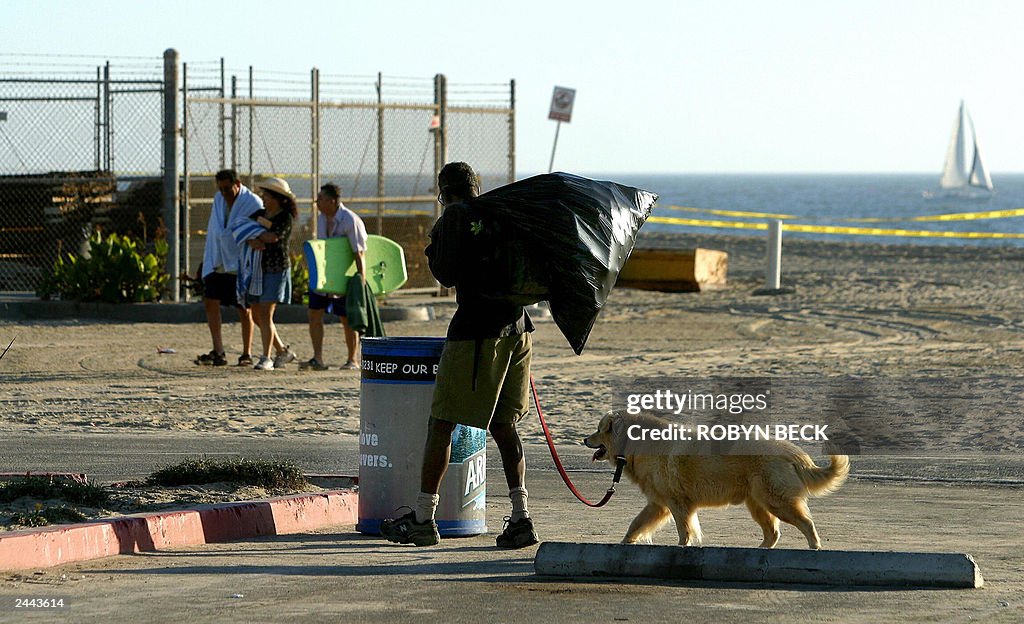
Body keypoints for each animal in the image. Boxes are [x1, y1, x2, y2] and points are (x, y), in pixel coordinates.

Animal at [585, 411, 847, 549]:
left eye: (598, 429)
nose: (584, 440)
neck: (636, 443)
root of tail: (791, 452)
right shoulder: (658, 505)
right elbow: (636, 524)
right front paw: (624, 543)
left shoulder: (677, 503)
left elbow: (684, 530)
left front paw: (683, 547)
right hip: (758, 503)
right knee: (773, 533)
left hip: (776, 501)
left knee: (806, 523)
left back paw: (814, 548)